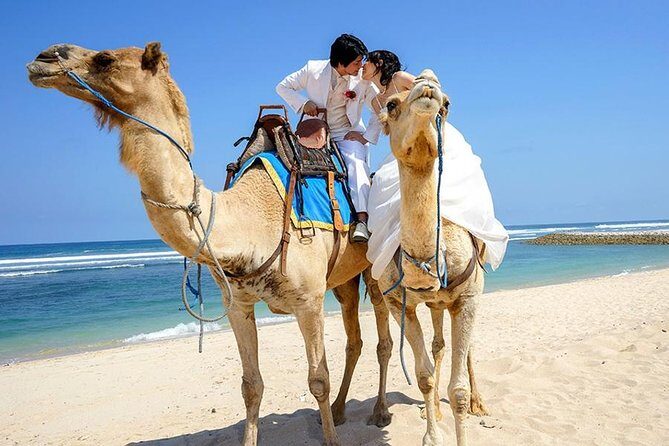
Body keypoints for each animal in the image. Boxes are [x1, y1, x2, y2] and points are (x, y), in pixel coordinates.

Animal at [26, 42, 394, 446]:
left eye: (104, 58)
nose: (44, 57)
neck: (251, 219)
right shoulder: (238, 304)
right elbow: (251, 385)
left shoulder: (308, 301)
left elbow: (317, 380)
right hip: (344, 280)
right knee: (354, 339)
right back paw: (342, 411)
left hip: (375, 271)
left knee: (382, 339)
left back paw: (379, 411)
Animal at [376, 70, 488, 446]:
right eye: (391, 104)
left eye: (448, 104)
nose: (427, 87)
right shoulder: (400, 303)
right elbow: (423, 375)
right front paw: (432, 436)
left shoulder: (468, 298)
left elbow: (459, 391)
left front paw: (465, 410)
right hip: (433, 304)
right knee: (438, 344)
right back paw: (434, 412)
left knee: (467, 349)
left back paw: (480, 403)